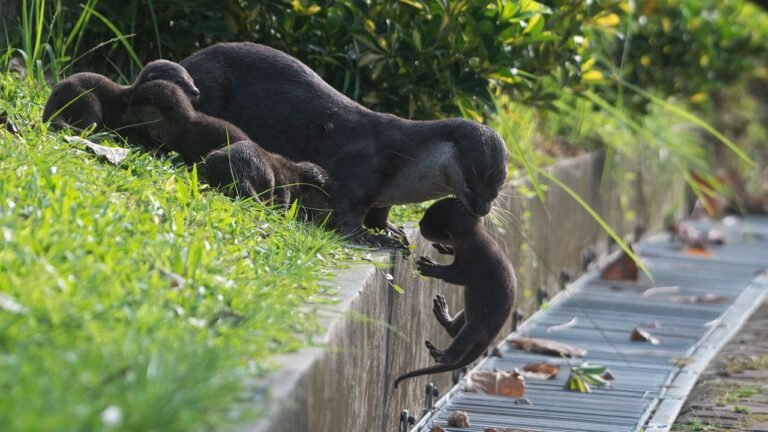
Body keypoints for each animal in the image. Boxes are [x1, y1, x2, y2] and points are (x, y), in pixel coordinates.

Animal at [180, 42, 508, 246]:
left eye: (500, 182)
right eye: (473, 176)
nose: (483, 208)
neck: (406, 160)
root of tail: (189, 61)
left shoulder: (385, 194)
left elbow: (380, 211)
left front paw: (389, 228)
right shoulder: (360, 170)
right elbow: (348, 212)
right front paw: (372, 237)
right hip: (212, 83)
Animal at [393, 198, 516, 388]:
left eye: (426, 225)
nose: (419, 224)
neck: (474, 239)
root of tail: (491, 338)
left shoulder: (472, 260)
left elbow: (457, 277)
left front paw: (431, 267)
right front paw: (444, 248)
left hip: (476, 326)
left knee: (458, 346)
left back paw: (440, 354)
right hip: (467, 312)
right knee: (454, 329)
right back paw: (442, 312)